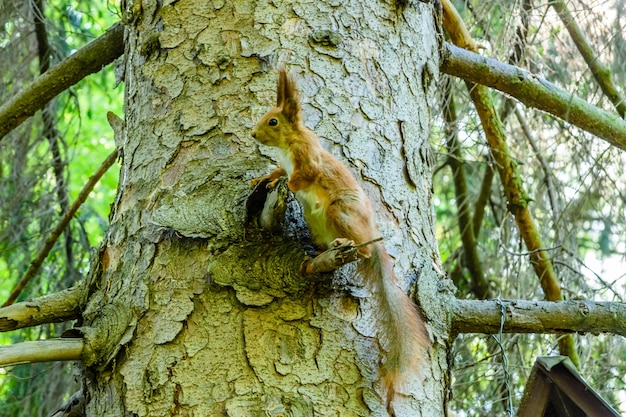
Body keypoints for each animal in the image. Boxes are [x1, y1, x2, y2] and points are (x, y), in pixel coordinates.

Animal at [251, 68, 426, 406]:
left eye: (273, 121)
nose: (253, 135)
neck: (290, 142)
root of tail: (371, 231)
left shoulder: (308, 160)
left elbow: (300, 178)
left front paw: (284, 184)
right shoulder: (287, 163)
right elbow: (279, 172)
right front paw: (265, 177)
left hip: (339, 213)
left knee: (363, 250)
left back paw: (346, 244)